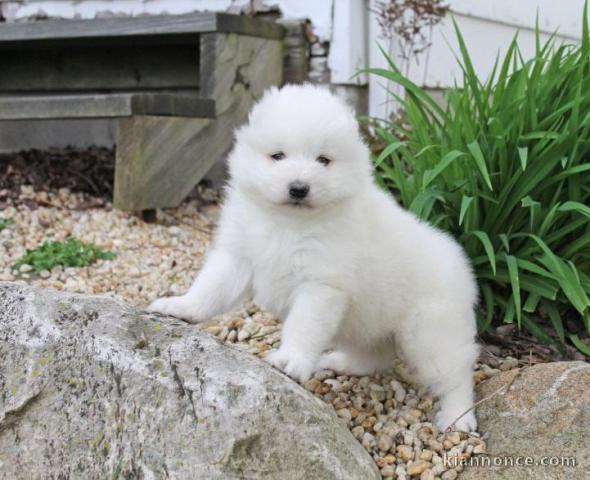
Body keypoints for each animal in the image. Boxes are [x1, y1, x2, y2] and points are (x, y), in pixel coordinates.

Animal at [149, 83, 480, 432]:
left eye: (324, 160)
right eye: (278, 156)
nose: (298, 188)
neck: (288, 223)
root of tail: (460, 264)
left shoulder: (320, 286)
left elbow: (303, 325)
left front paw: (291, 359)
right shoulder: (237, 256)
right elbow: (210, 289)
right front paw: (180, 307)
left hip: (430, 334)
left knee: (456, 374)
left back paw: (459, 417)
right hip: (366, 322)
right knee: (374, 354)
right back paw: (340, 362)